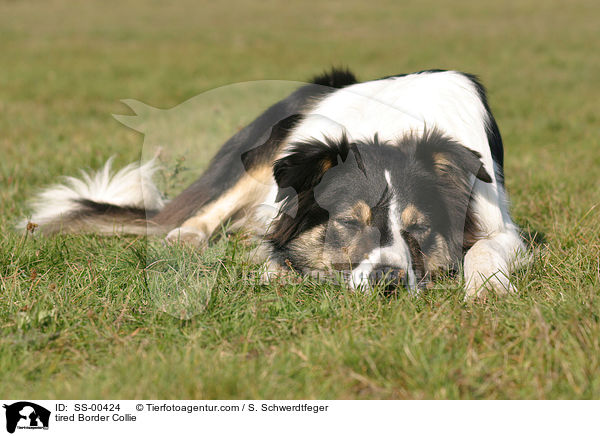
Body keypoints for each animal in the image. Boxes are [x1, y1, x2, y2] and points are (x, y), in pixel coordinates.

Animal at [21, 69, 528, 300]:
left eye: (418, 228)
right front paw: (274, 268)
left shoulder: (500, 224)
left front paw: (485, 288)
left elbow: (486, 248)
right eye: (349, 222)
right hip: (267, 146)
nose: (388, 282)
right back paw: (187, 235)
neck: (387, 132)